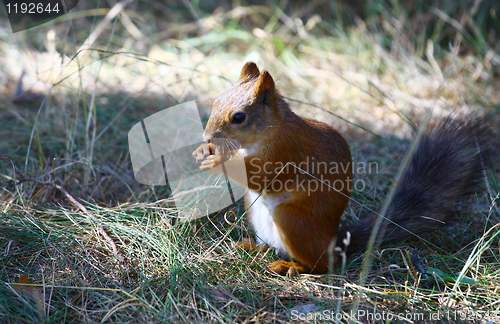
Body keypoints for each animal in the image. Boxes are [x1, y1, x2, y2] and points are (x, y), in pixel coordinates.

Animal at [192, 61, 488, 276]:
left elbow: (259, 176)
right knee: (276, 247)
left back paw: (291, 266)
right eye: (215, 101)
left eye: (239, 117)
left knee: (321, 266)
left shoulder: (285, 152)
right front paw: (204, 152)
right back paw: (255, 247)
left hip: (293, 221)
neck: (269, 130)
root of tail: (336, 244)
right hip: (255, 212)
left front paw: (218, 161)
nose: (207, 136)